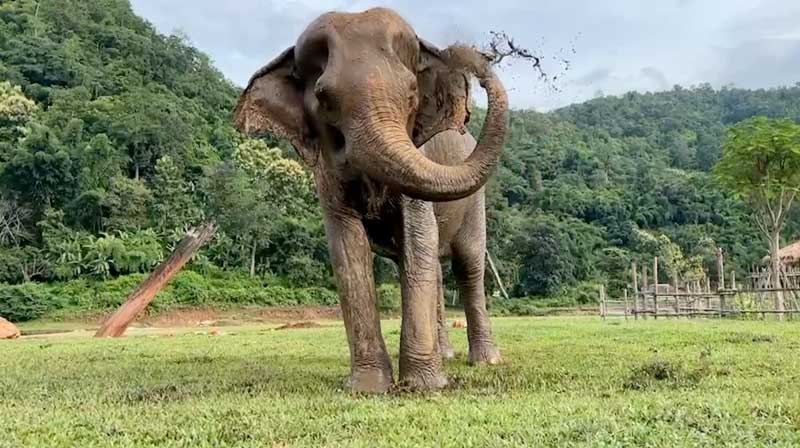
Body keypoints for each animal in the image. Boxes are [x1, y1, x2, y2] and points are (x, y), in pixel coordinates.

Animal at [233, 7, 506, 392]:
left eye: (411, 92)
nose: (474, 55)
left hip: (475, 202)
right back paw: (447, 356)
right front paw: (369, 388)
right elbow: (349, 250)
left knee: (468, 264)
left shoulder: (419, 154)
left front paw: (424, 386)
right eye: (324, 98)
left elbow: (417, 238)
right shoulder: (327, 176)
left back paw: (486, 361)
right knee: (436, 270)